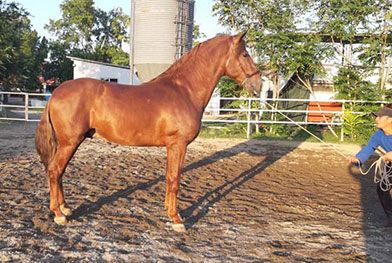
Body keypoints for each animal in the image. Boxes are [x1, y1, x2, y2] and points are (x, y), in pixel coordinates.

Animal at [36, 32, 260, 232]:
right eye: (245, 54)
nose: (258, 85)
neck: (184, 91)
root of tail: (56, 93)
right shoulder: (178, 144)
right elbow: (174, 179)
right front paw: (176, 219)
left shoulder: (173, 146)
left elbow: (170, 177)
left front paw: (169, 210)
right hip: (70, 142)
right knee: (55, 171)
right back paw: (59, 214)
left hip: (70, 143)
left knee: (59, 172)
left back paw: (65, 208)